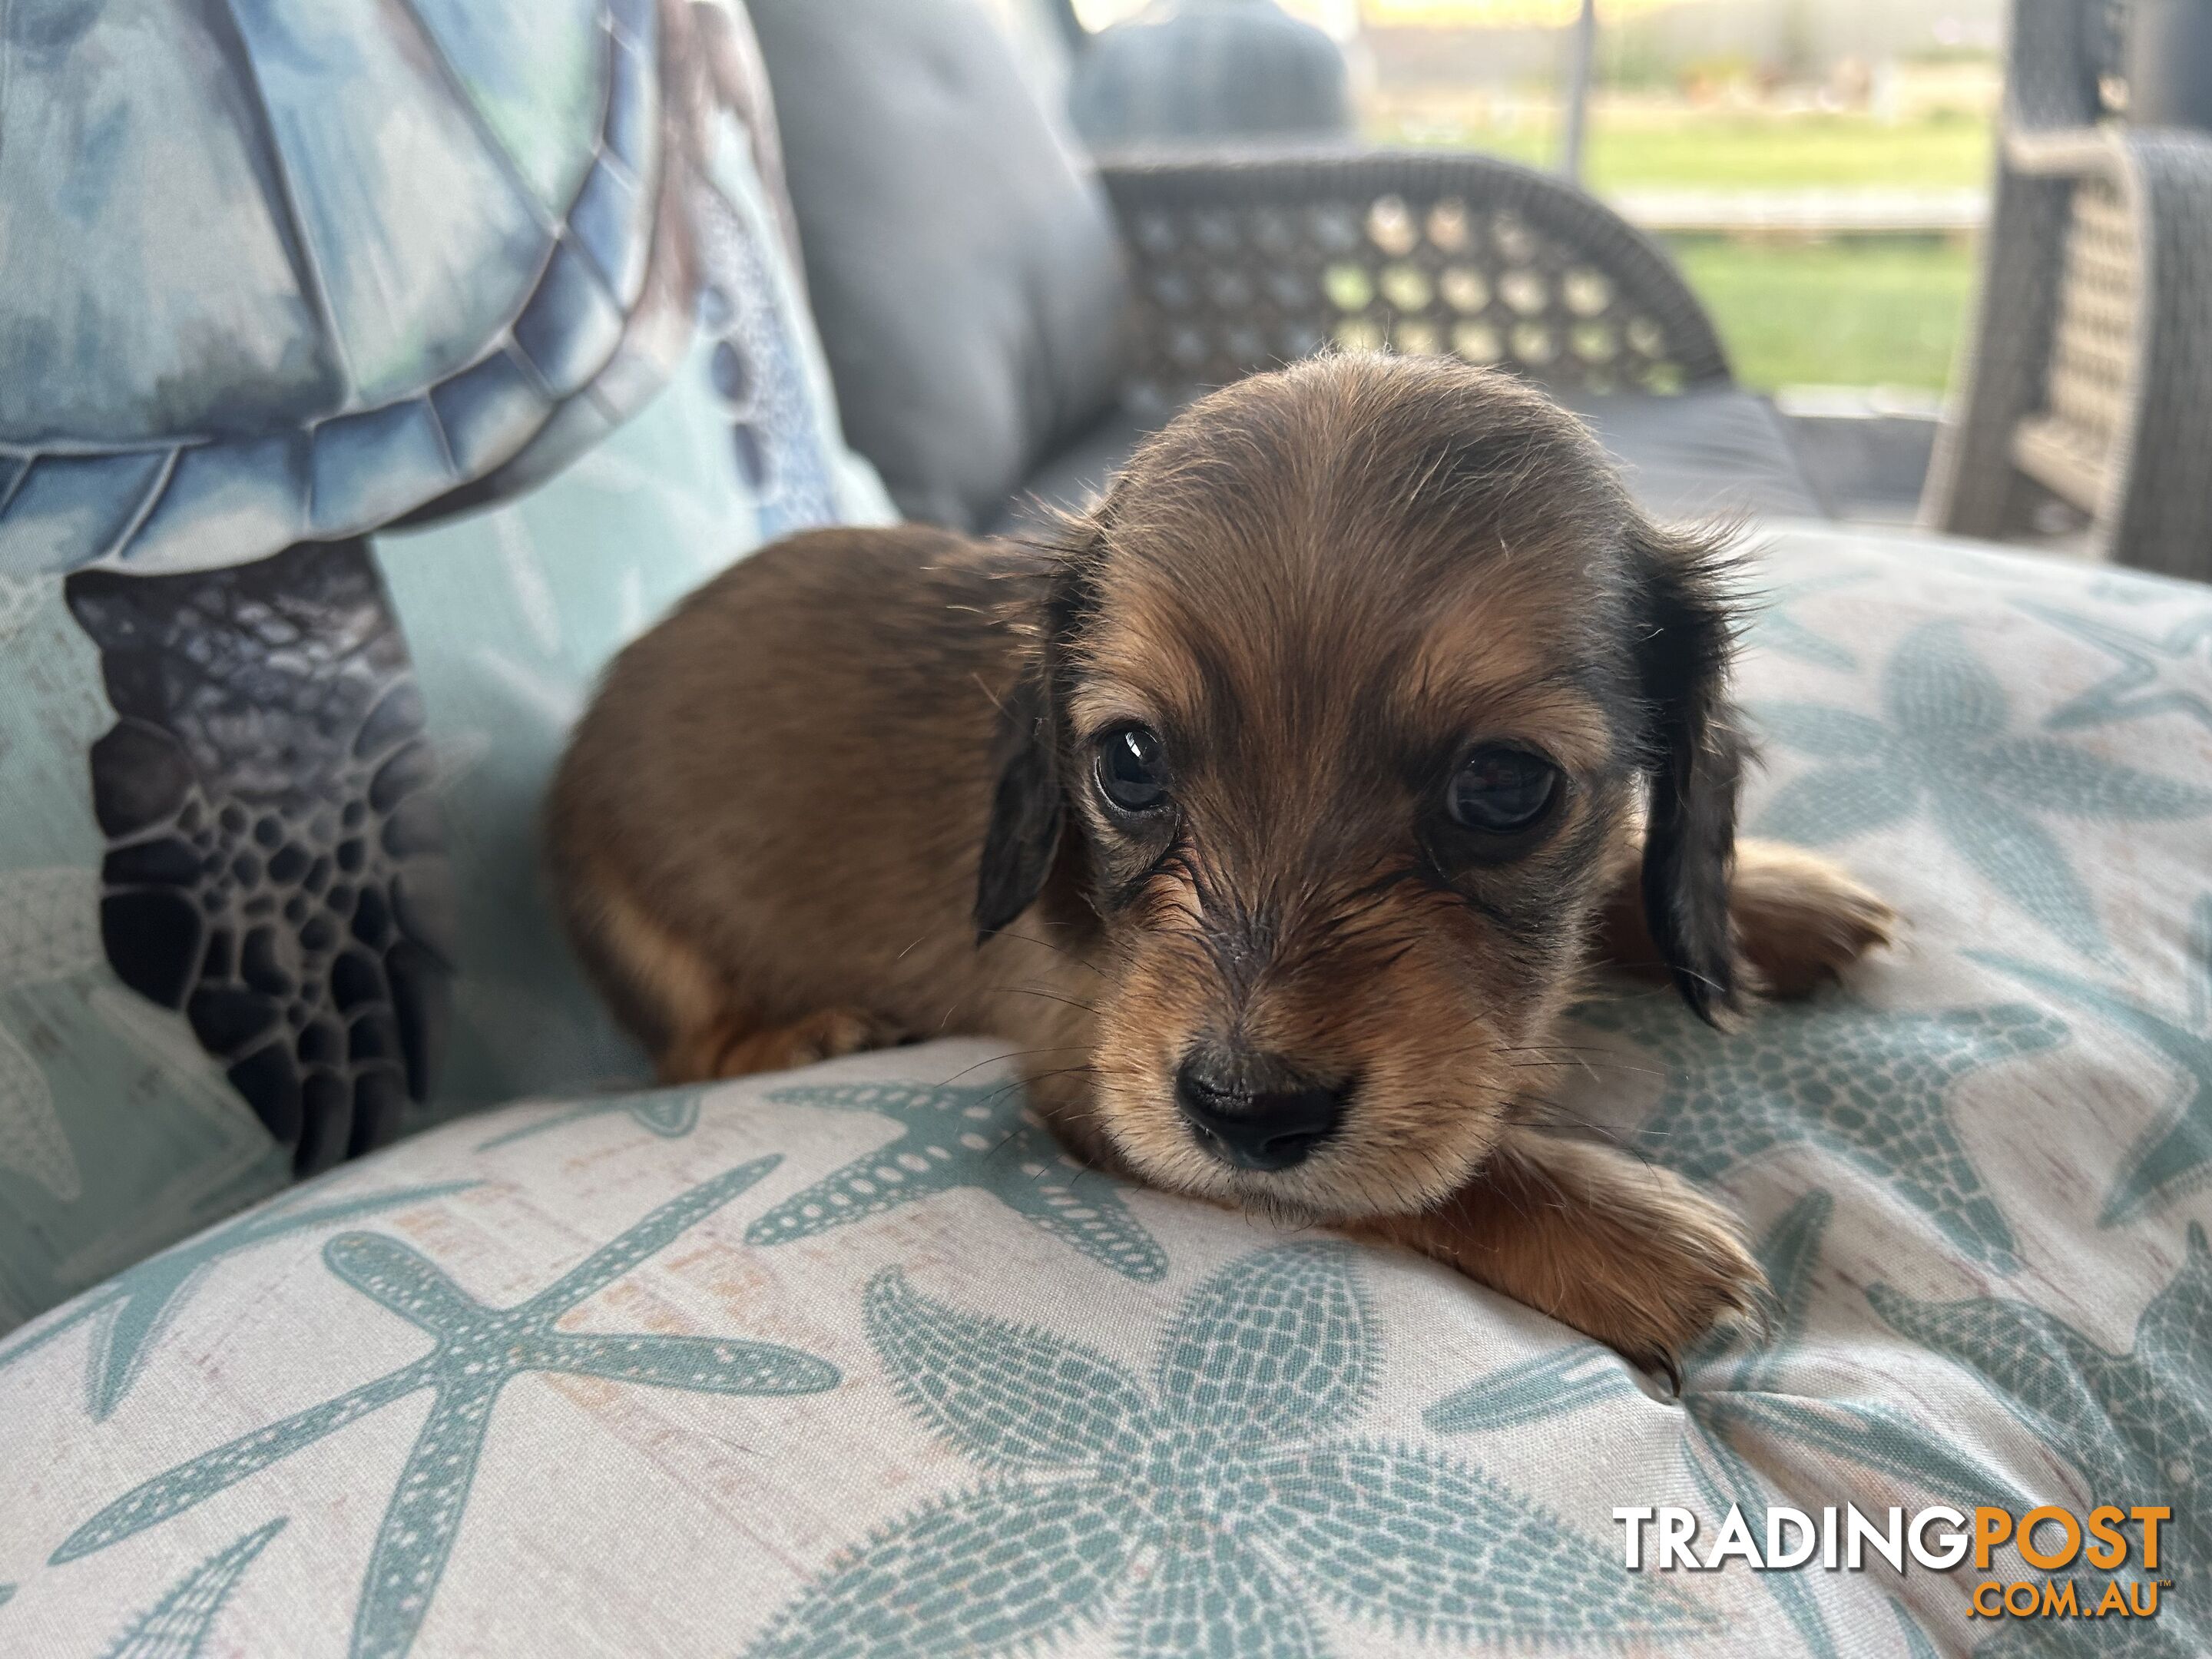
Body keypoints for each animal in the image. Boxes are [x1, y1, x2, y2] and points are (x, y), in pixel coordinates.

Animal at [548, 351, 1884, 1380]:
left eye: (1507, 787)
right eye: (1130, 762)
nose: (1248, 1109)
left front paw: (1766, 901)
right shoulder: (1097, 1084)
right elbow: (1405, 1180)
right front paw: (1625, 1234)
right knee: (692, 1049)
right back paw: (810, 1031)